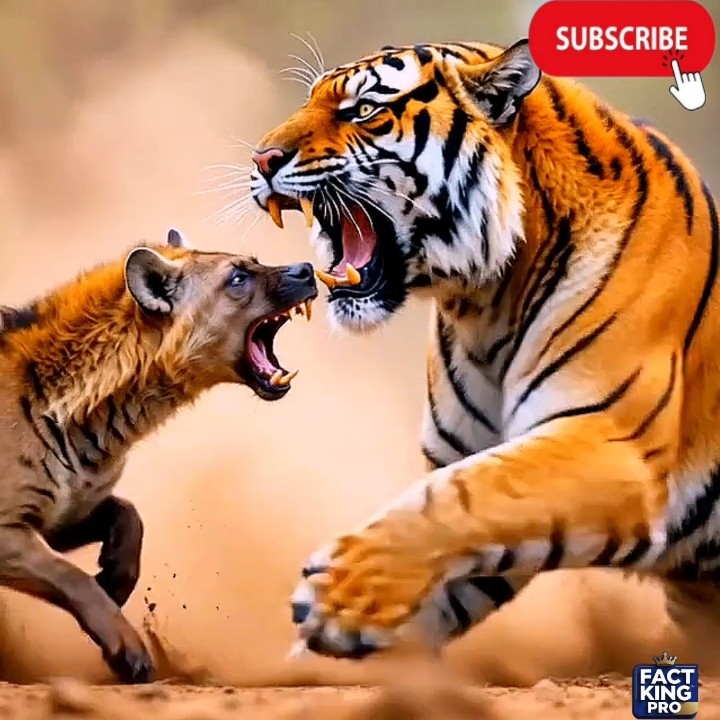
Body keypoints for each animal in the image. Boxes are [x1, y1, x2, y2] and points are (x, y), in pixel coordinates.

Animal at [0, 228, 317, 681]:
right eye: (237, 277)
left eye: (254, 262)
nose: (307, 269)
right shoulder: (8, 527)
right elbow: (71, 575)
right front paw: (130, 653)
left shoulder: (62, 514)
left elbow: (129, 514)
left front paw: (116, 579)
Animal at [247, 38, 720, 660]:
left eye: (364, 110)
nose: (261, 160)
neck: (486, 303)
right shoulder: (465, 464)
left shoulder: (614, 443)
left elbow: (464, 497)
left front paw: (337, 591)